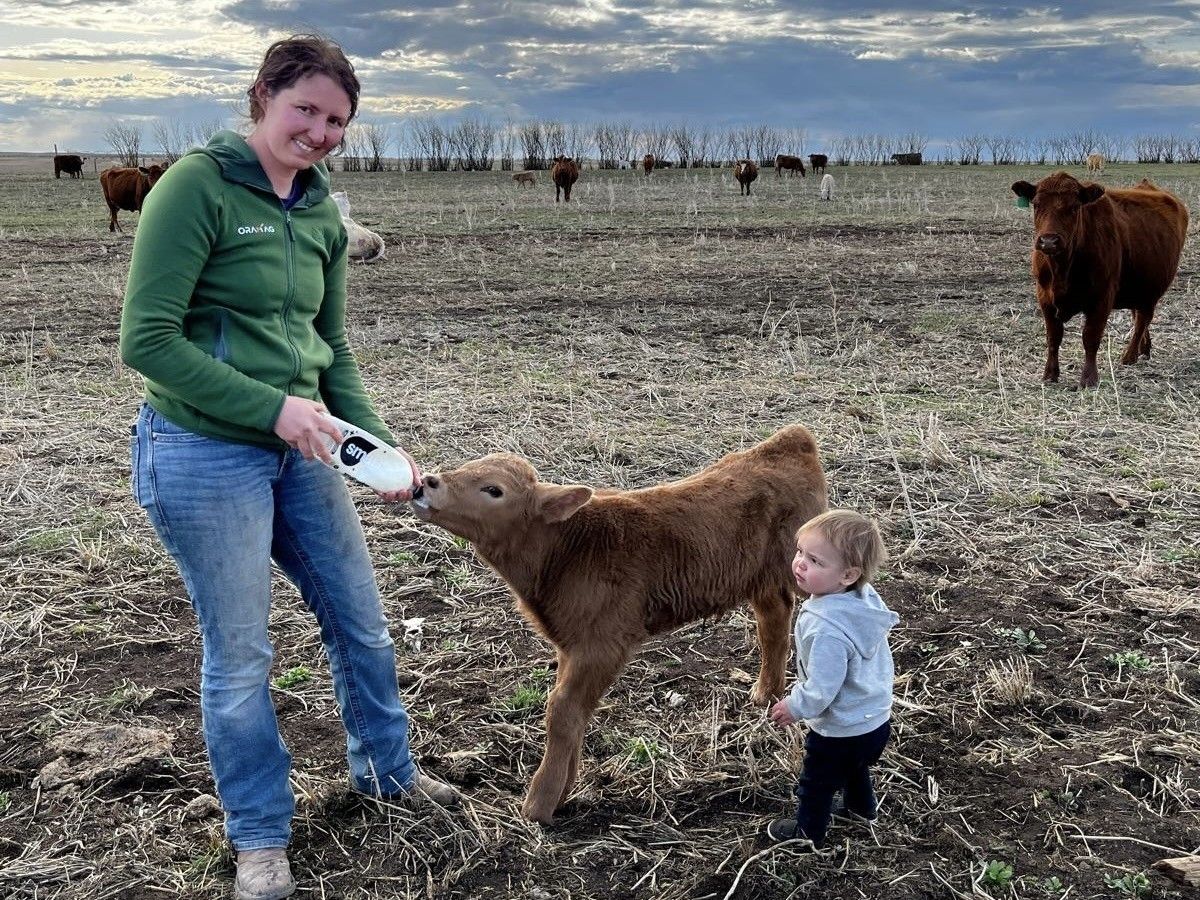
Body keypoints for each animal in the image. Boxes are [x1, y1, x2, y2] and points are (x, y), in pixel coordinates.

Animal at [410, 425, 827, 824]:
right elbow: (571, 711)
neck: (566, 549)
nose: (427, 481)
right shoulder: (571, 643)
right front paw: (564, 790)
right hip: (760, 577)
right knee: (773, 617)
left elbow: (562, 710)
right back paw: (766, 693)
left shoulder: (602, 643)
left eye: (493, 490)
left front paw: (540, 803)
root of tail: (790, 440)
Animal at [1011, 172, 1188, 388]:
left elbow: (1090, 337)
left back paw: (1130, 356)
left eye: (1074, 207)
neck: (1062, 268)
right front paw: (1050, 374)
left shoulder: (1102, 298)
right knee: (1138, 317)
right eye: (1036, 205)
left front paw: (1089, 378)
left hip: (1150, 290)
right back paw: (1144, 350)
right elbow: (1053, 337)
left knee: (1142, 320)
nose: (1049, 241)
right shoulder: (1044, 297)